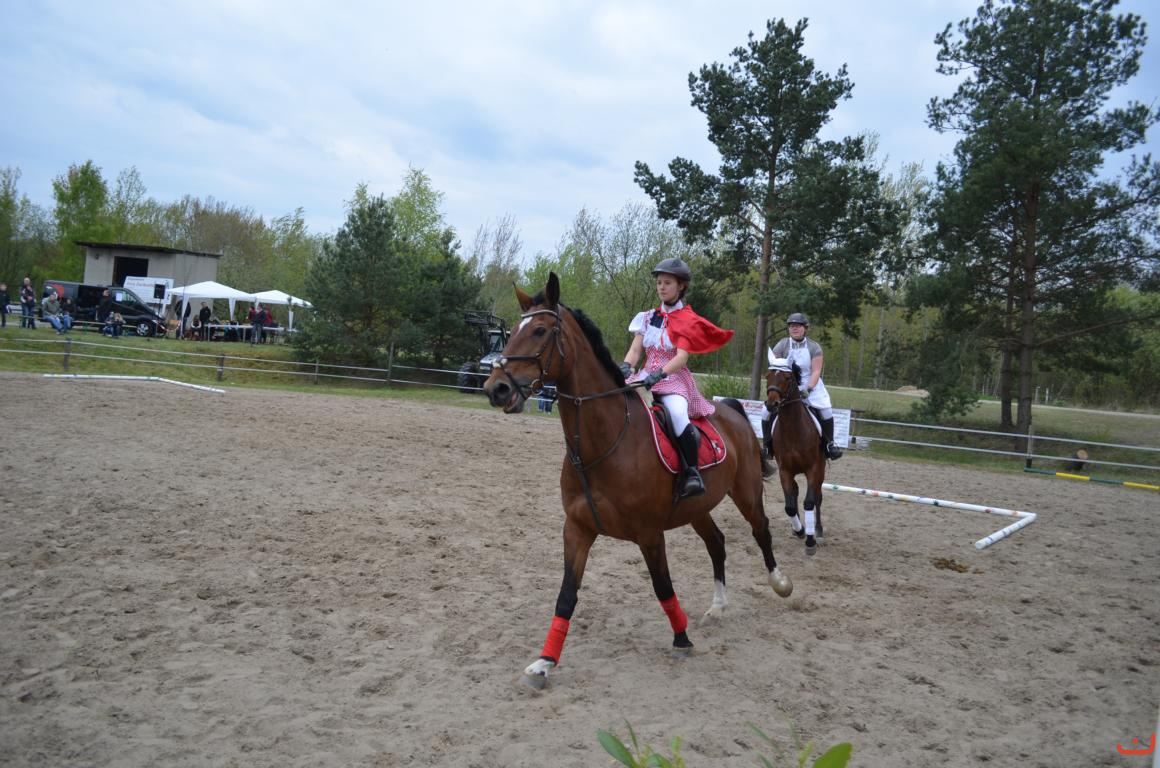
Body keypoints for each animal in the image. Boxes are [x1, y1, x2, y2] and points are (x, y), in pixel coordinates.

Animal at [482, 273, 793, 689]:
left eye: (541, 331)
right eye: (513, 331)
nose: (496, 388)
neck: (604, 445)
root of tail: (729, 409)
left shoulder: (649, 533)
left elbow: (662, 585)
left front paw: (682, 638)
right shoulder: (577, 529)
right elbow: (566, 595)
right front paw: (544, 662)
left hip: (745, 492)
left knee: (761, 530)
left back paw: (780, 585)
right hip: (698, 507)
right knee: (717, 543)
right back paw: (717, 607)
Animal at [764, 355, 827, 555]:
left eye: (787, 378)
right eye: (768, 376)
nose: (771, 404)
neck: (794, 430)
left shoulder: (814, 469)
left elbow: (809, 502)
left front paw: (810, 540)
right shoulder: (785, 471)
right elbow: (789, 506)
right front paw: (800, 530)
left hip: (821, 470)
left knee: (818, 498)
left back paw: (818, 530)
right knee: (795, 493)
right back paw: (797, 528)